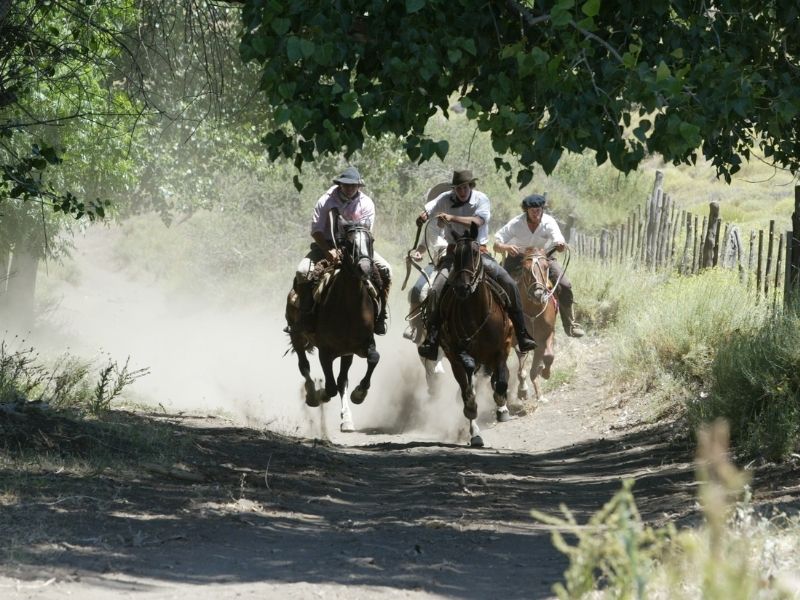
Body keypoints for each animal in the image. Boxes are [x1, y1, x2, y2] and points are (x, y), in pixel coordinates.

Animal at [284, 220, 382, 432]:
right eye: (348, 242)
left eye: (371, 240)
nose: (364, 268)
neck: (348, 309)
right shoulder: (325, 351)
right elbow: (329, 388)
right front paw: (319, 395)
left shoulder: (361, 345)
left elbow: (373, 358)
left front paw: (359, 394)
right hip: (297, 335)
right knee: (304, 365)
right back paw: (313, 394)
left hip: (347, 354)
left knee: (342, 380)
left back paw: (347, 419)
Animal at [438, 223, 512, 448]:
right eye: (455, 254)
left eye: (475, 252)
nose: (462, 287)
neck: (476, 314)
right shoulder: (457, 355)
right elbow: (469, 394)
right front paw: (474, 427)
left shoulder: (503, 348)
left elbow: (501, 382)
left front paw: (502, 406)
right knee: (468, 388)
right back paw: (474, 433)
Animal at [512, 246, 556, 406]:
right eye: (525, 269)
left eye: (546, 266)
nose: (538, 293)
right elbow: (521, 370)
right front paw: (523, 390)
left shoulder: (547, 335)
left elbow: (548, 356)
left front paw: (544, 373)